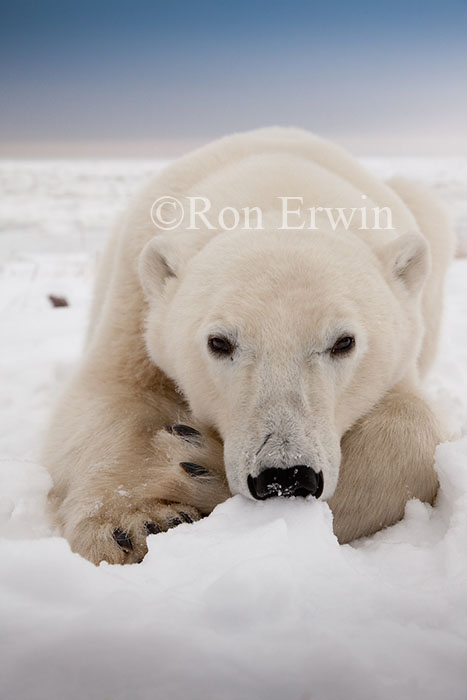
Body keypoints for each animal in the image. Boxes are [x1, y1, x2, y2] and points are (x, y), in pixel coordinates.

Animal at [42, 127, 455, 565]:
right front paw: (136, 523)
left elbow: (414, 429)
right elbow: (106, 395)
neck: (278, 191)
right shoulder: (134, 302)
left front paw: (197, 468)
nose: (285, 476)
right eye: (219, 343)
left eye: (344, 342)